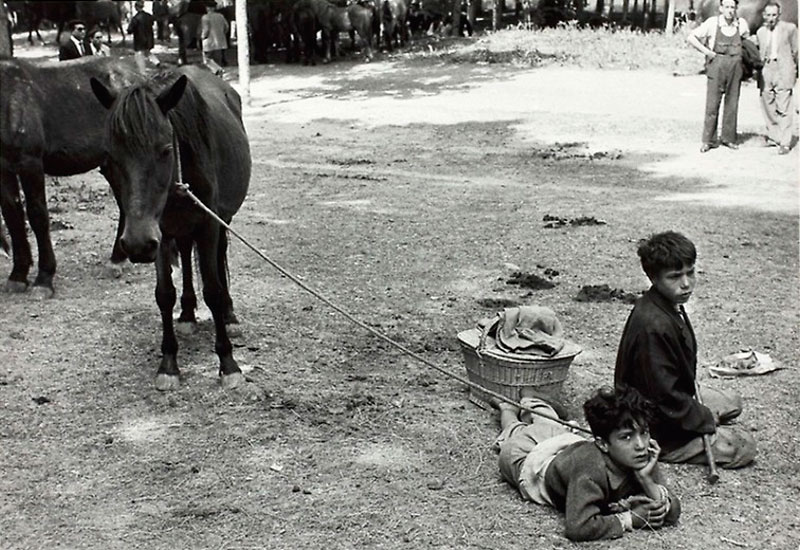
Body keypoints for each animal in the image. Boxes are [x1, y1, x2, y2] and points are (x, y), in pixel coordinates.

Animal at [0, 56, 141, 298]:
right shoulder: (3, 168)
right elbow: (13, 216)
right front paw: (18, 276)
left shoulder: (30, 163)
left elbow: (37, 216)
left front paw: (44, 279)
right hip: (110, 163)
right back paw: (117, 259)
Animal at [89, 66, 250, 392]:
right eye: (110, 157)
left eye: (165, 150)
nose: (136, 244)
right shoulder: (159, 234)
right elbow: (164, 294)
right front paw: (168, 364)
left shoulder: (209, 225)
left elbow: (213, 289)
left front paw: (228, 364)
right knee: (186, 255)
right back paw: (187, 314)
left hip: (220, 220)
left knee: (219, 259)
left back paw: (228, 315)